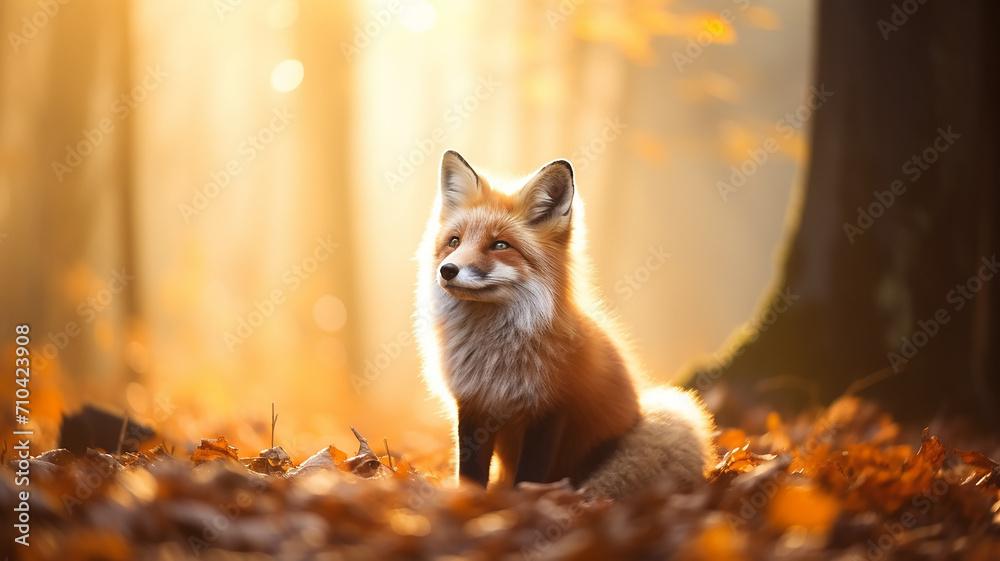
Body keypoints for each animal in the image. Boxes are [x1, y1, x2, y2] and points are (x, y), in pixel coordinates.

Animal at [415, 150, 715, 499]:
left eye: (500, 245)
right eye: (454, 241)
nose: (447, 270)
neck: (496, 358)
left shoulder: (552, 409)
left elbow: (529, 476)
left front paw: (522, 505)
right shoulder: (473, 405)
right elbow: (471, 474)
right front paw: (470, 504)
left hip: (667, 411)